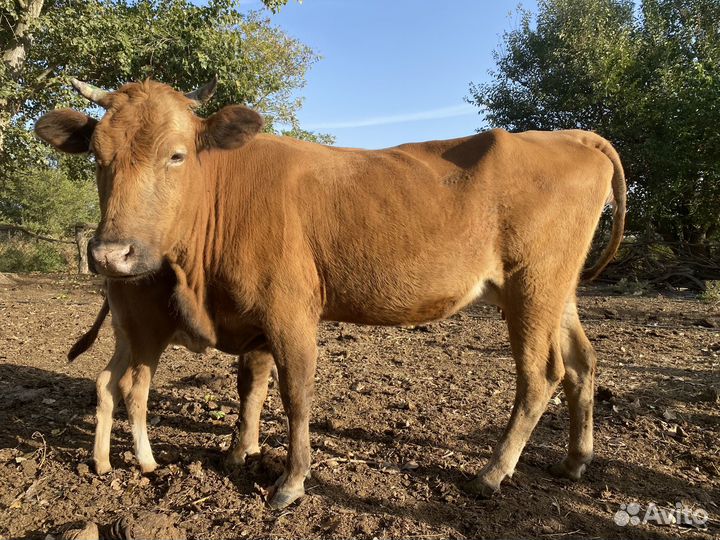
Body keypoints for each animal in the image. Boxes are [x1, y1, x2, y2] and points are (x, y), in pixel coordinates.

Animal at [35, 78, 626, 509]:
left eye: (176, 155)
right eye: (97, 156)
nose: (111, 255)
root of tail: (569, 135)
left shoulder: (290, 309)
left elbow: (295, 394)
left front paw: (291, 482)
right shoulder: (250, 312)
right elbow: (250, 385)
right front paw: (237, 454)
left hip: (532, 285)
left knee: (540, 376)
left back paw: (491, 473)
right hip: (556, 292)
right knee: (582, 364)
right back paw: (574, 461)